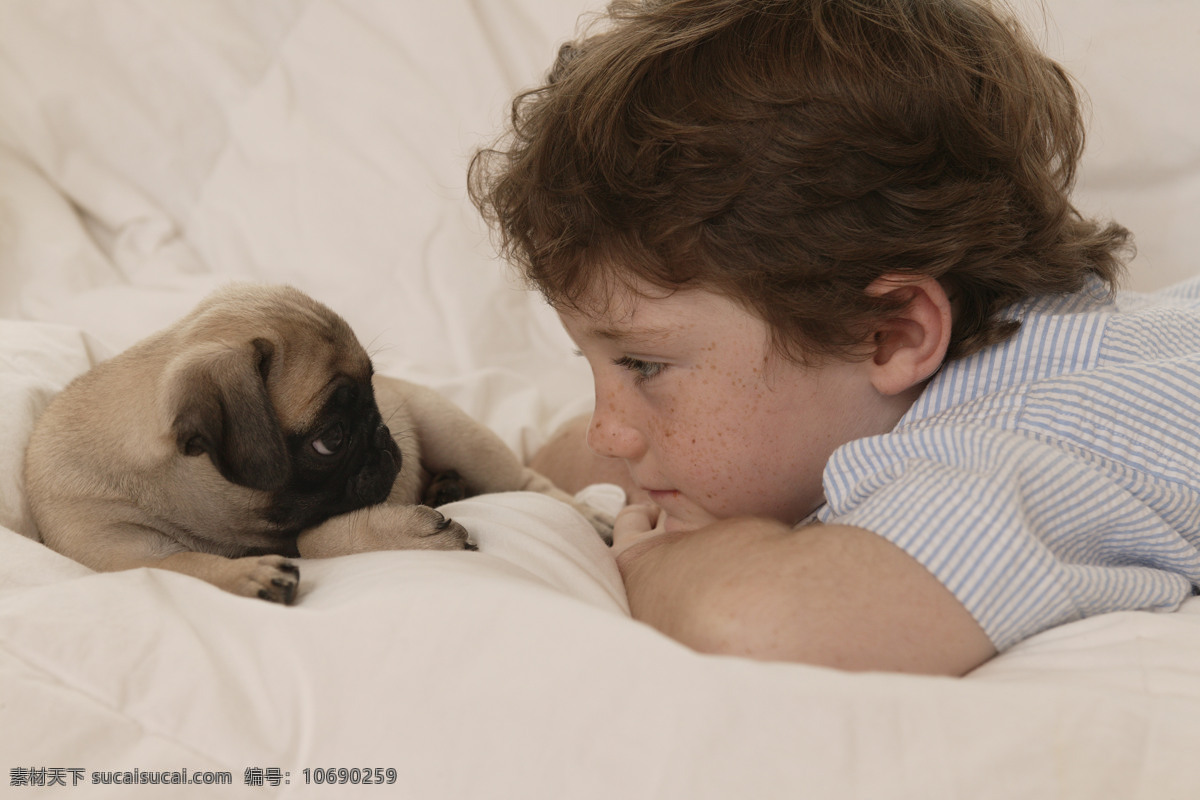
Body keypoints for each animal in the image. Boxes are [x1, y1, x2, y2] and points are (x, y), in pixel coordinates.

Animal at [24, 284, 614, 604]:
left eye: (374, 390)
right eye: (330, 439)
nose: (384, 432)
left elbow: (314, 540)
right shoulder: (117, 554)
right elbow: (179, 564)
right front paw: (242, 576)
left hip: (454, 429)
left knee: (524, 481)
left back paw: (586, 514)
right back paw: (445, 489)